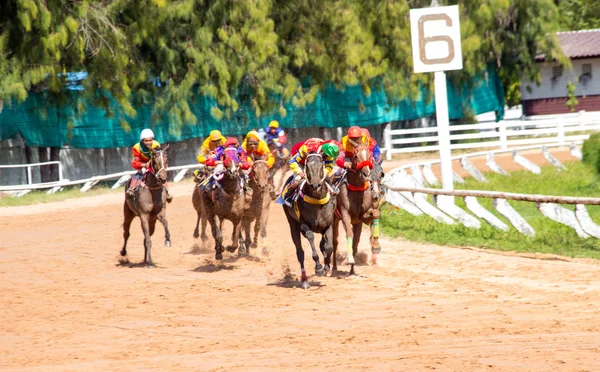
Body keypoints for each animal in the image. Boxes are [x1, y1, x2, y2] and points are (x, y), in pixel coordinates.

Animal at [282, 153, 336, 290]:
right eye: (307, 166)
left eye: (321, 165)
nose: (315, 185)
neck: (317, 202)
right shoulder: (303, 225)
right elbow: (311, 237)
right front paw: (319, 268)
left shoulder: (328, 225)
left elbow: (329, 247)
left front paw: (327, 266)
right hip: (292, 224)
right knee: (300, 252)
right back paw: (305, 281)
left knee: (323, 244)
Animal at [328, 144, 380, 274]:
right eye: (356, 156)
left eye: (369, 155)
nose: (366, 173)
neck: (356, 188)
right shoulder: (345, 214)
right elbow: (349, 234)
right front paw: (350, 258)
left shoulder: (362, 218)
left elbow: (375, 214)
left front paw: (375, 246)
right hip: (334, 220)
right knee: (335, 242)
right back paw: (334, 267)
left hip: (356, 223)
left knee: (355, 241)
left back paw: (352, 270)